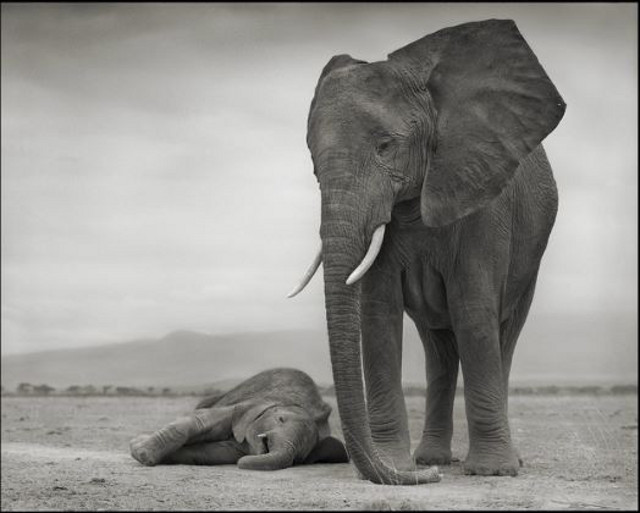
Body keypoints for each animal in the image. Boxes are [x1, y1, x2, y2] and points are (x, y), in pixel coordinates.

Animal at [129, 368, 349, 470]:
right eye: (280, 420)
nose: (241, 463)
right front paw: (140, 452)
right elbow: (199, 422)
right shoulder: (245, 407)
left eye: (300, 456)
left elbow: (213, 452)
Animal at [288, 19, 566, 485]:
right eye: (312, 162)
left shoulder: (485, 200)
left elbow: (473, 312)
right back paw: (430, 459)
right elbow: (377, 315)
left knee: (502, 336)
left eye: (385, 146)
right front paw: (397, 467)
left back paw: (497, 461)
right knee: (439, 351)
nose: (428, 480)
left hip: (531, 260)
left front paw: (491, 472)